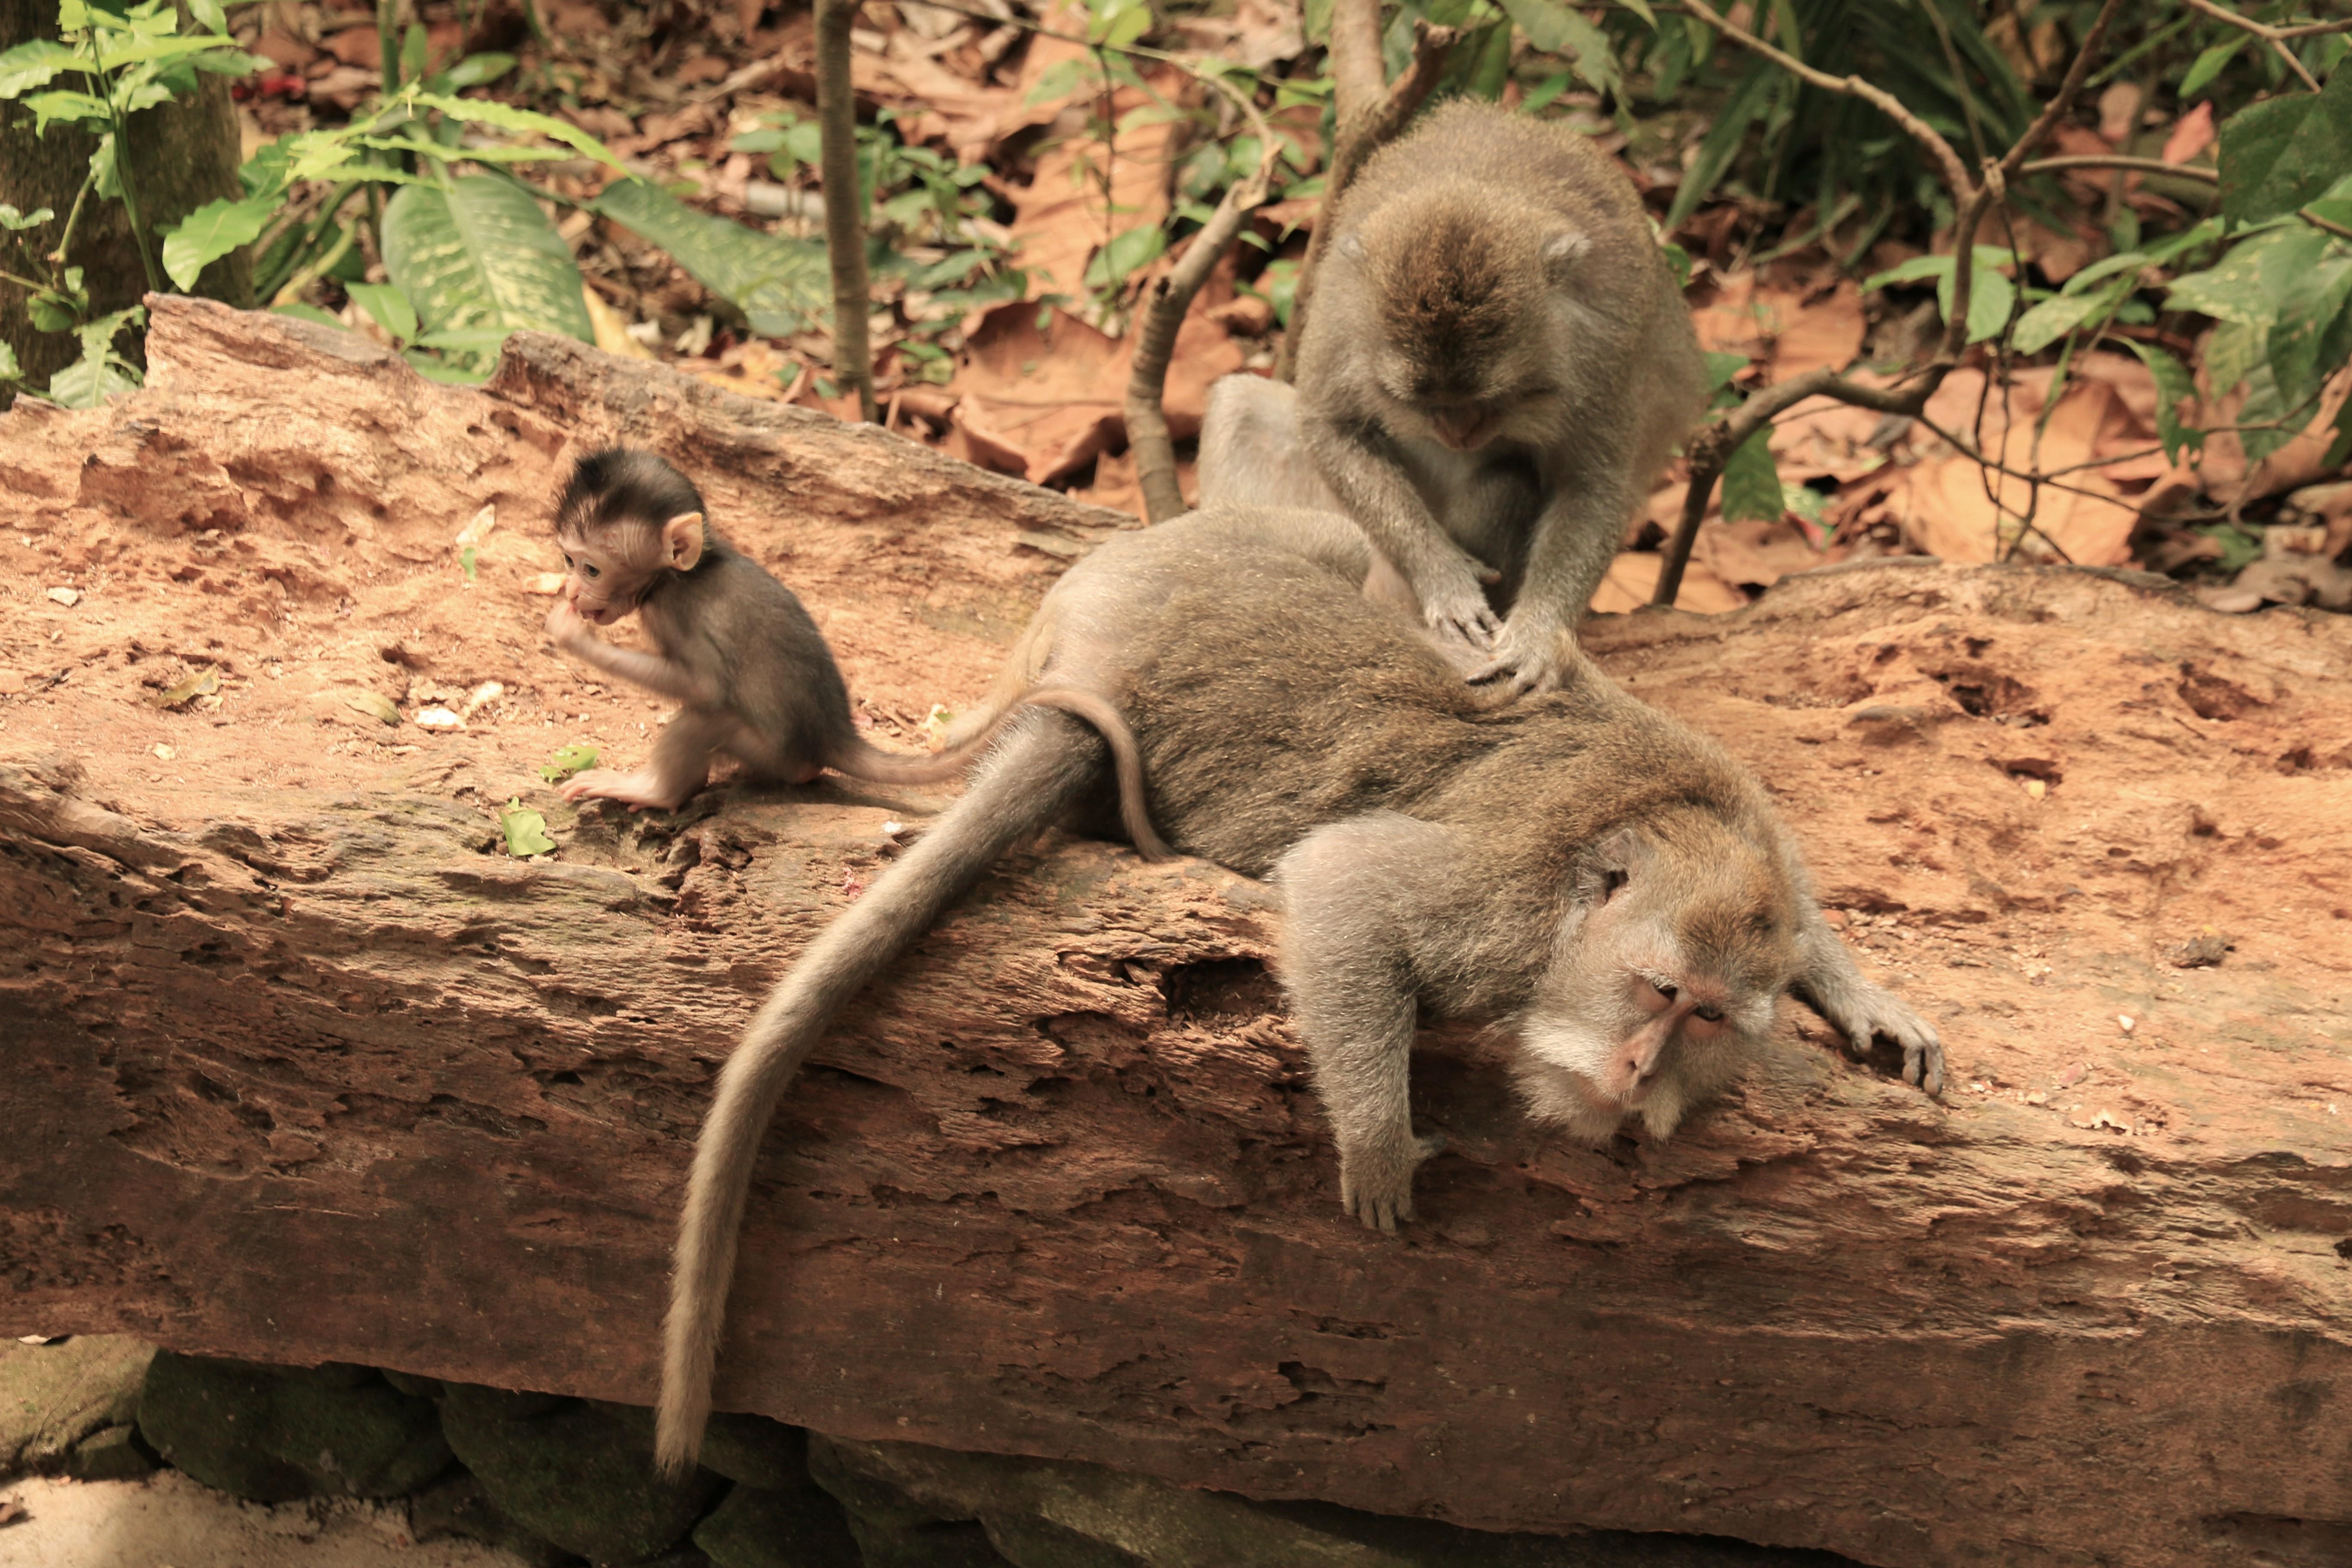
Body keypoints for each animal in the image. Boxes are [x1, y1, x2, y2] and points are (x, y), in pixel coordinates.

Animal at [541, 447, 1165, 853]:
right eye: (569, 559)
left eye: (592, 568)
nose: (573, 590)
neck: (683, 575)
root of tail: (833, 733)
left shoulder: (679, 611)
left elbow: (705, 687)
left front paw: (571, 634)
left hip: (773, 754)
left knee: (708, 717)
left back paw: (655, 790)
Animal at [651, 502, 1941, 1473]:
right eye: (1657, 992)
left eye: (1707, 1018)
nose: (1635, 1072)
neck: (1652, 834)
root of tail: (1090, 651)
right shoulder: (1506, 912)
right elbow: (1346, 886)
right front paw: (1376, 1145)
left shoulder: (1728, 802)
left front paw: (1862, 995)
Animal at [1284, 98, 1708, 698]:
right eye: (1417, 400)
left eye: (1497, 396)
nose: (1458, 432)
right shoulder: (1343, 319)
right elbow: (1330, 427)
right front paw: (1445, 578)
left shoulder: (1602, 354)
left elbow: (1591, 486)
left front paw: (1537, 635)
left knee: (1509, 482)